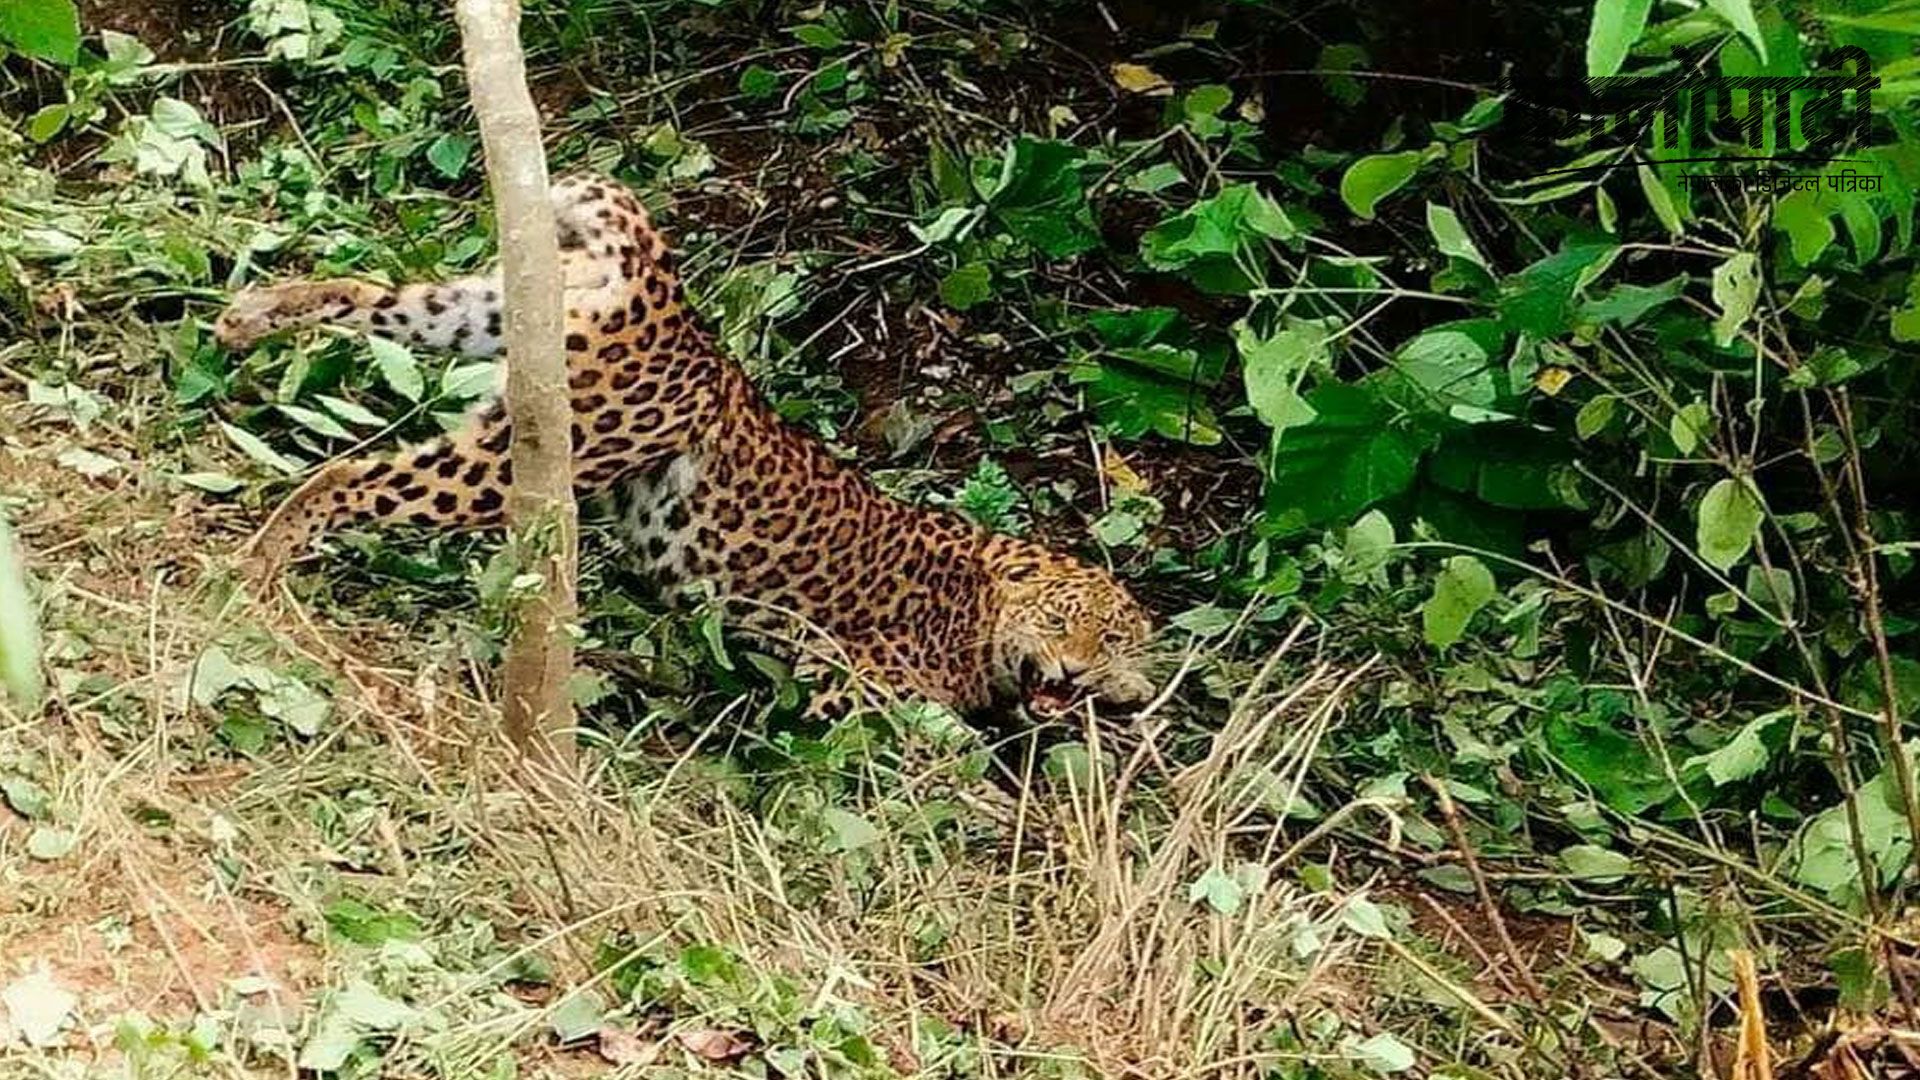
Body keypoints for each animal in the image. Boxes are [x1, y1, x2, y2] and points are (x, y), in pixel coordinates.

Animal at [217, 171, 1159, 714]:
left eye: (1112, 643)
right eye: (1065, 623)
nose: (1074, 674)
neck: (980, 600)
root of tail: (673, 301)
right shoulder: (849, 685)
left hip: (488, 313)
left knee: (373, 292)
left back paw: (251, 313)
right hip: (527, 454)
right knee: (350, 473)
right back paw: (259, 563)